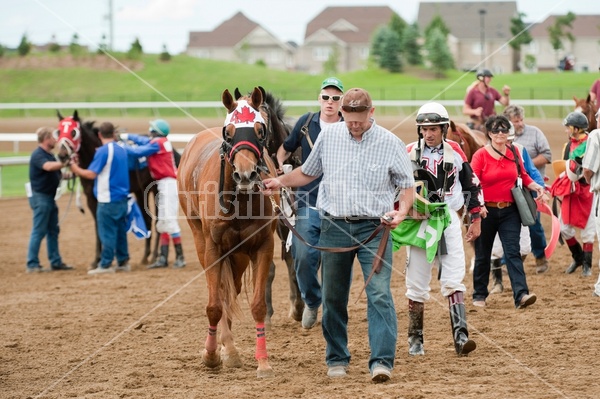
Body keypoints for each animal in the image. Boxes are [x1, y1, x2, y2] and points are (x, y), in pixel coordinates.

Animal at [55, 111, 157, 268]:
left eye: (73, 132)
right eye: (59, 131)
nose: (62, 155)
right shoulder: (91, 198)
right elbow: (98, 226)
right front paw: (97, 259)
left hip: (155, 189)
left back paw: (155, 257)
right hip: (140, 191)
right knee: (147, 219)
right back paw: (146, 257)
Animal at [177, 87, 280, 378]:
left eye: (260, 129)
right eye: (229, 132)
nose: (246, 175)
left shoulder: (262, 246)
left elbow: (257, 305)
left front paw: (263, 362)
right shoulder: (214, 248)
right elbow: (214, 305)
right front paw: (211, 354)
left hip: (239, 255)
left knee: (230, 290)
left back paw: (230, 349)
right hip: (201, 240)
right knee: (220, 293)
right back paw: (224, 348)